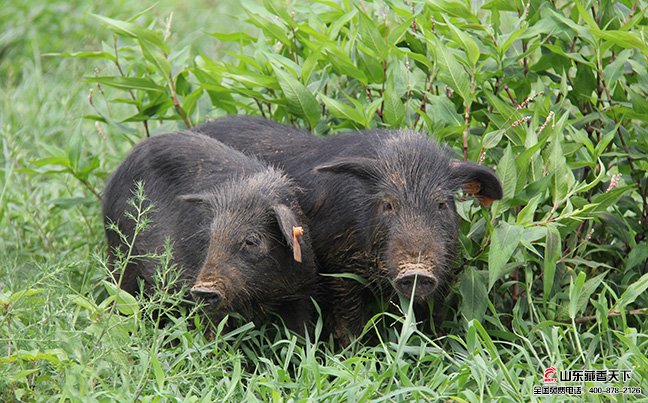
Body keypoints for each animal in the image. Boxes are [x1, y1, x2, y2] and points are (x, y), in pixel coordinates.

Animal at [195, 116, 504, 344]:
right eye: (387, 204)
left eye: (441, 204)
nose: (416, 270)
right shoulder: (338, 269)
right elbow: (349, 323)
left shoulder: (445, 270)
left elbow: (433, 321)